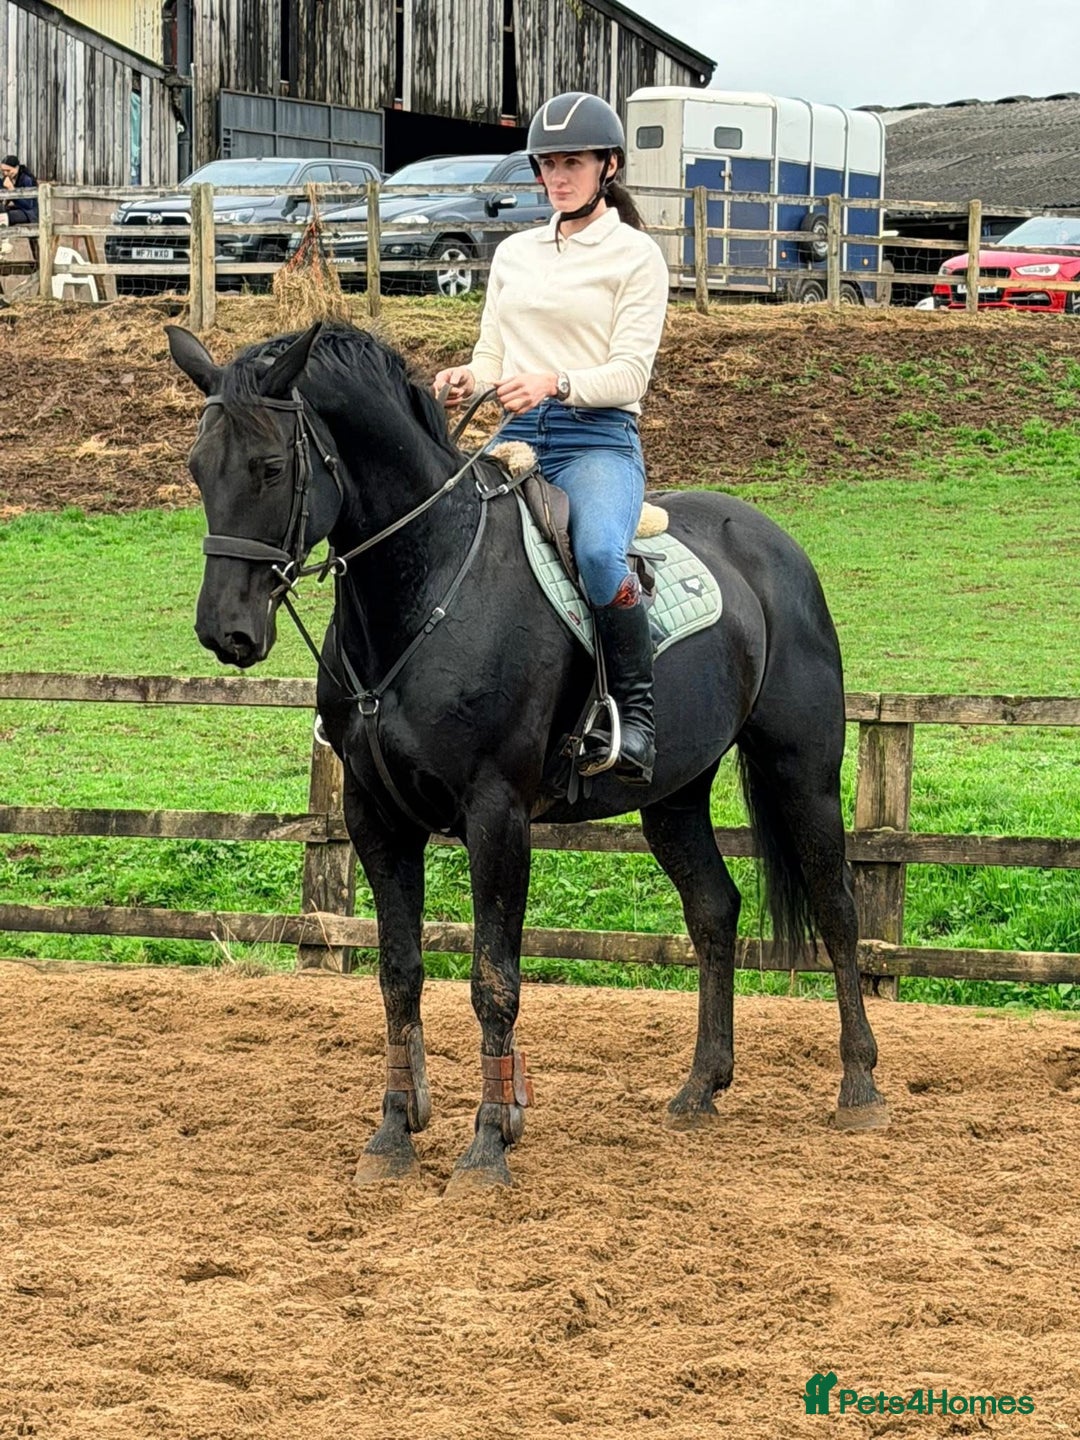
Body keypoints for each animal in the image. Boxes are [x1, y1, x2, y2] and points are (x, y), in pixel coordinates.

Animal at [167, 319, 887, 1190]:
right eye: (198, 467)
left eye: (272, 467)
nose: (225, 631)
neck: (429, 583)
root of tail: (772, 543)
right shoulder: (375, 818)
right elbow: (398, 974)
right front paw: (394, 1134)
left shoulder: (496, 816)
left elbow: (493, 980)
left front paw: (487, 1145)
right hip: (673, 795)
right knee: (715, 911)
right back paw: (700, 1088)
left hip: (799, 769)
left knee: (837, 907)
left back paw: (859, 1088)